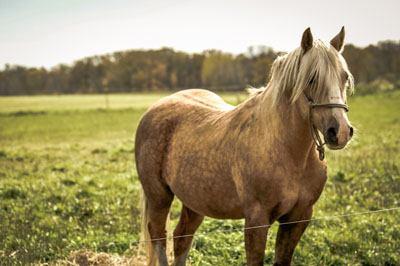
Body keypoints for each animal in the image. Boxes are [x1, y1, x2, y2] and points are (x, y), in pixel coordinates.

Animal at [134, 27, 354, 266]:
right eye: (312, 78)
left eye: (344, 77)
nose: (340, 132)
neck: (288, 152)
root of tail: (154, 108)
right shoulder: (257, 220)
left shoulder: (298, 218)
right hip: (159, 197)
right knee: (159, 236)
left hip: (194, 202)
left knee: (181, 237)